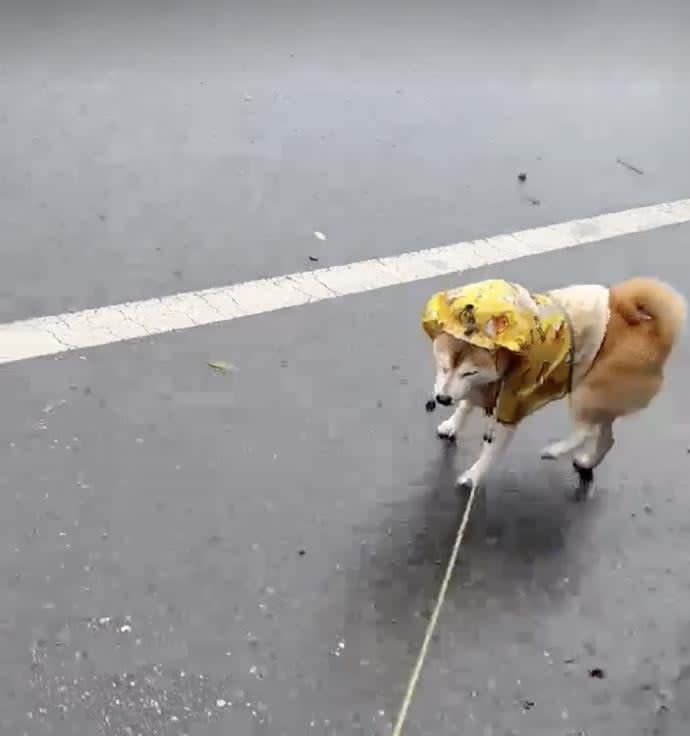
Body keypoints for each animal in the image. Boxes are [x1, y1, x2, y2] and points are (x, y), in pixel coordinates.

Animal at [422, 278, 684, 498]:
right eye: (443, 366)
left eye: (469, 372)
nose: (442, 398)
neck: (509, 357)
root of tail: (655, 334)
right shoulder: (482, 388)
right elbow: (465, 406)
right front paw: (452, 424)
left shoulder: (509, 408)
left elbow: (489, 453)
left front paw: (473, 477)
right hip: (603, 399)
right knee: (607, 438)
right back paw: (586, 462)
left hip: (585, 392)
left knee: (586, 431)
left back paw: (555, 450)